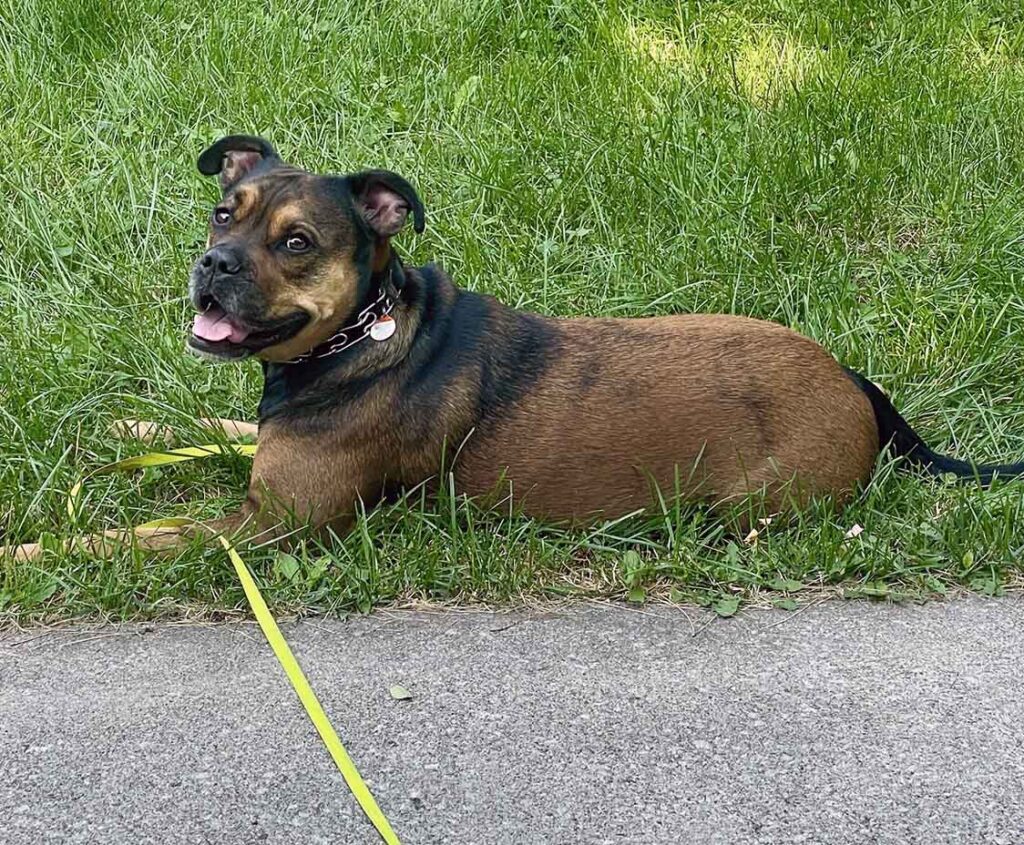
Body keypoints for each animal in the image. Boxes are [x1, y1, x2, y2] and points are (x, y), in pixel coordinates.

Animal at [4, 135, 1019, 561]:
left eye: (296, 242)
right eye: (227, 212)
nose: (211, 264)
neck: (364, 333)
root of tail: (852, 379)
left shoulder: (271, 526)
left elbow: (129, 537)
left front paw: (31, 550)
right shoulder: (267, 457)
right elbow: (214, 429)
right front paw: (132, 428)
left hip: (757, 506)